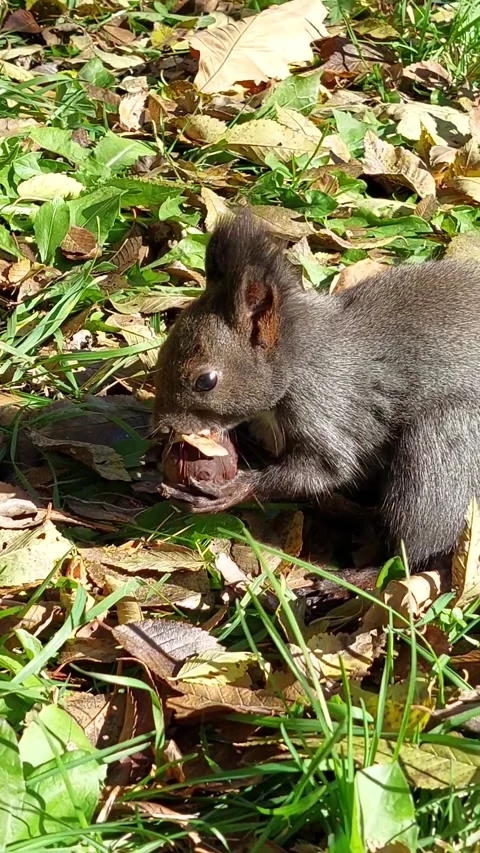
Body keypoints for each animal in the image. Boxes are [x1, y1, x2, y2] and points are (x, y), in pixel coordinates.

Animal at [154, 209, 480, 567]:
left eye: (206, 381)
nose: (162, 425)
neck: (300, 358)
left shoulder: (327, 405)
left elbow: (327, 467)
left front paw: (234, 489)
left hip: (442, 445)